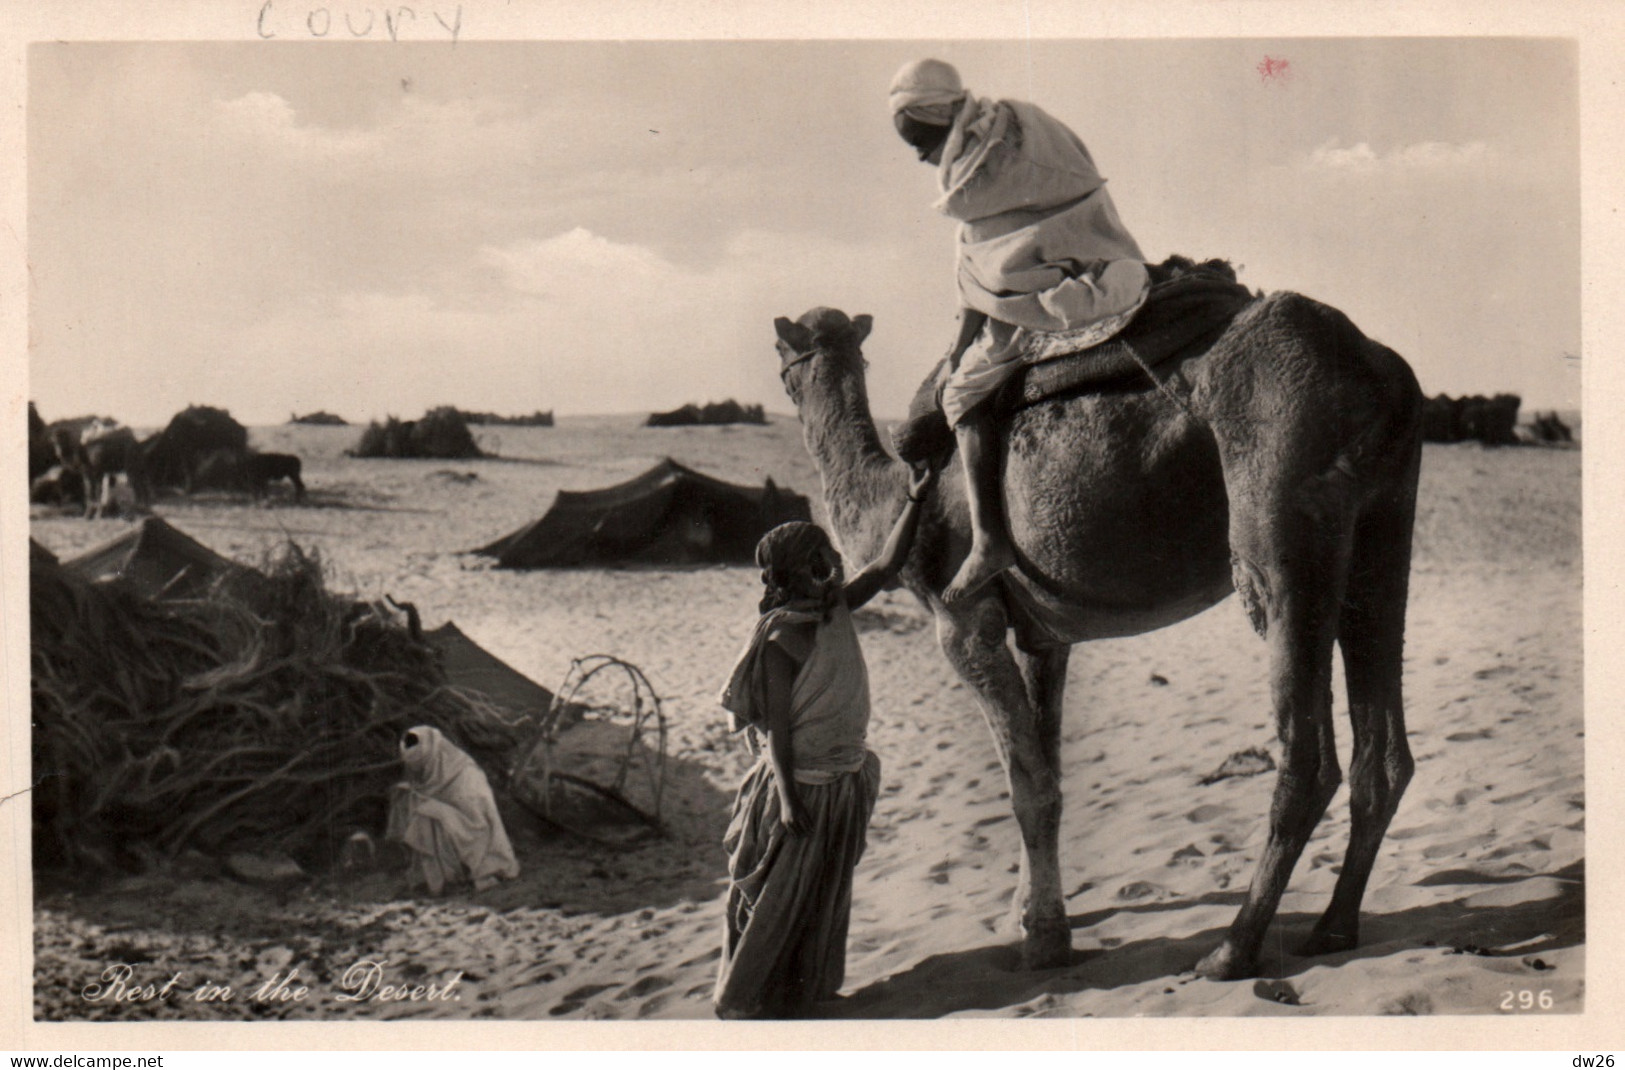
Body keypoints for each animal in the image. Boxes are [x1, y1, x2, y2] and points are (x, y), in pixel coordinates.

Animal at [773, 289, 1423, 975]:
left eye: (782, 352)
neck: (892, 495)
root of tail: (1382, 371)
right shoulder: (1044, 636)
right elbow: (1049, 769)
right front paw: (1025, 912)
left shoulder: (963, 621)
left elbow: (1028, 785)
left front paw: (1046, 940)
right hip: (1382, 521)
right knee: (1383, 744)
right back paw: (1332, 928)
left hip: (1282, 501)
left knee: (1307, 751)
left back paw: (1232, 948)